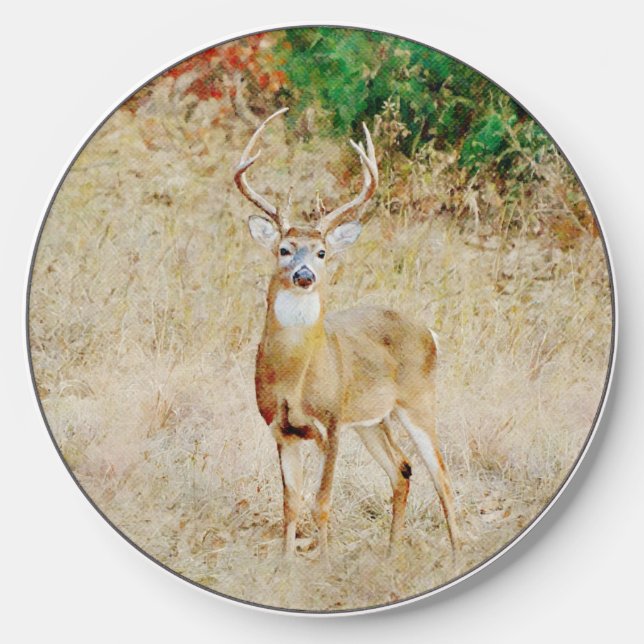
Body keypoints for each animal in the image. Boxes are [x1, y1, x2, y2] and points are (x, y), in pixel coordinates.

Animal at [234, 107, 459, 560]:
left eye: (322, 252)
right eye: (284, 249)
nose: (304, 275)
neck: (295, 379)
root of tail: (430, 333)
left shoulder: (332, 422)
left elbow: (321, 501)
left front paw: (323, 561)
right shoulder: (280, 428)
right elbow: (291, 503)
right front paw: (286, 564)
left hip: (418, 400)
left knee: (441, 476)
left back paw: (459, 551)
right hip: (373, 418)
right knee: (402, 469)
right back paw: (390, 554)